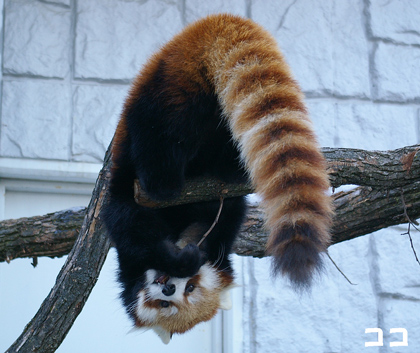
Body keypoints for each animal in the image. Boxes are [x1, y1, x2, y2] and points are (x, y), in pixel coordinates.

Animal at [101, 13, 332, 340]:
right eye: (164, 304)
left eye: (191, 288)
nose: (168, 287)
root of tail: (213, 24)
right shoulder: (125, 209)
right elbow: (134, 226)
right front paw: (180, 258)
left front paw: (184, 257)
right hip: (174, 91)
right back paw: (177, 180)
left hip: (185, 97)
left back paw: (193, 176)